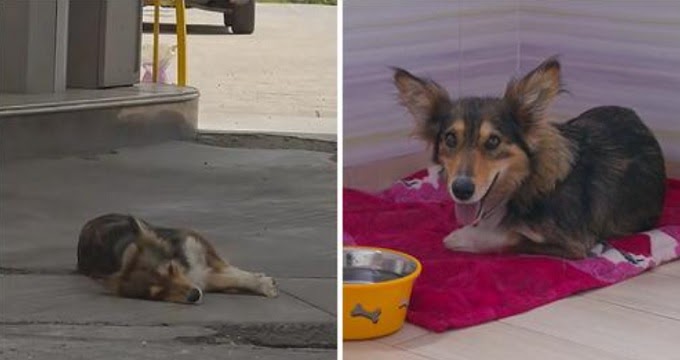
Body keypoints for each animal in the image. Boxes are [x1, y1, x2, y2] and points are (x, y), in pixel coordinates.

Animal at [74, 214, 276, 304]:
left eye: (171, 268)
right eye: (159, 294)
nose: (194, 295)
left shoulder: (198, 253)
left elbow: (232, 272)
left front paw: (262, 282)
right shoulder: (201, 279)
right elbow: (226, 277)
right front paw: (260, 283)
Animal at [394, 56, 664, 258]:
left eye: (493, 141)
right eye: (450, 139)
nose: (461, 189)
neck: (523, 182)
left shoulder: (575, 243)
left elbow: (511, 236)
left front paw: (465, 237)